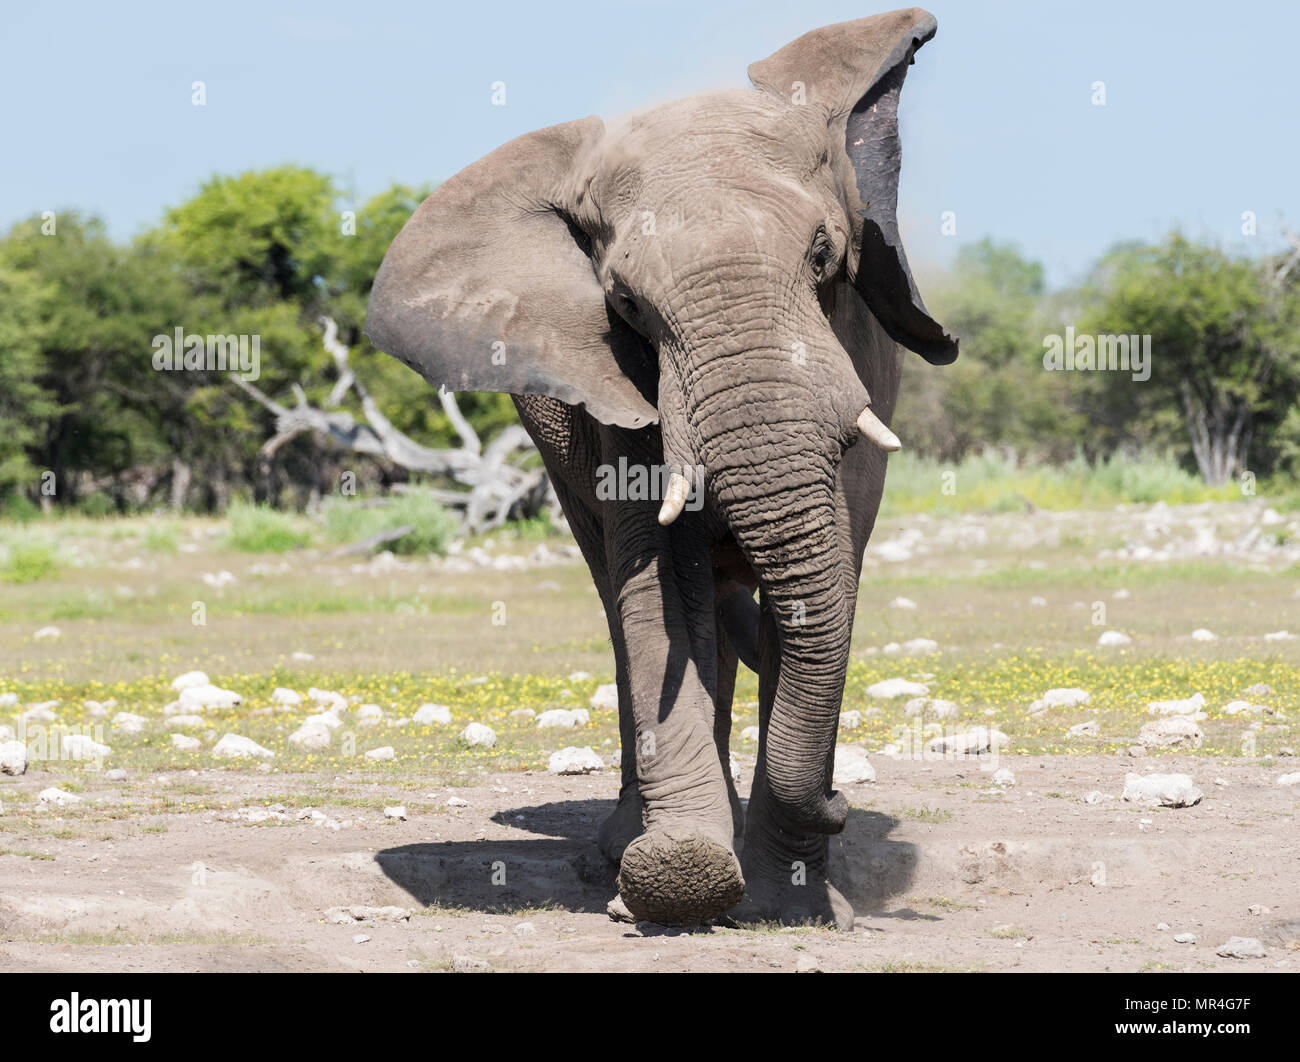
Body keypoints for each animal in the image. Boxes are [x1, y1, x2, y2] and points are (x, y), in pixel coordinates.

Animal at [364, 8, 957, 928]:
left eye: (825, 256)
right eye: (626, 304)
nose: (841, 805)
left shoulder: (858, 352)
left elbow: (828, 570)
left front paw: (793, 898)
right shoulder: (619, 386)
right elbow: (660, 585)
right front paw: (684, 874)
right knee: (623, 600)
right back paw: (623, 851)